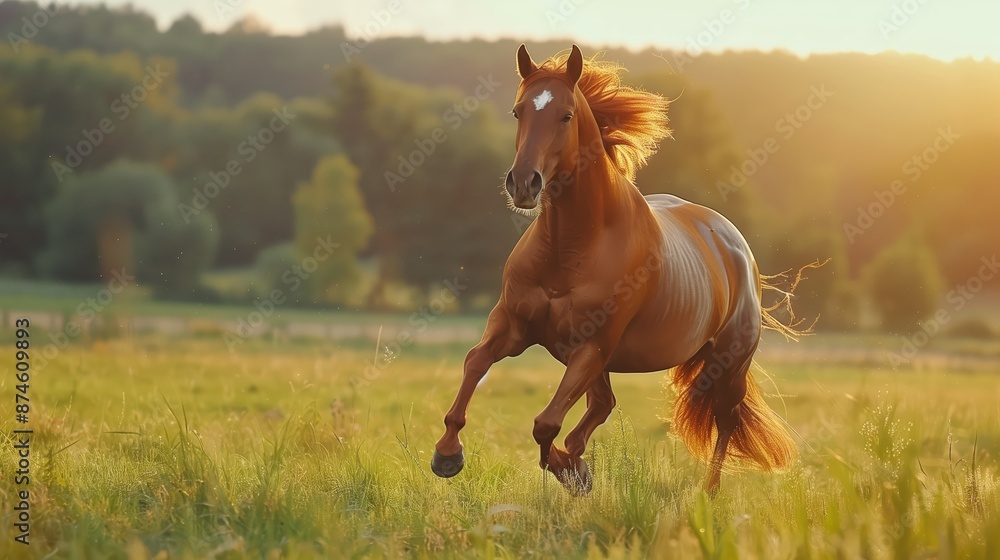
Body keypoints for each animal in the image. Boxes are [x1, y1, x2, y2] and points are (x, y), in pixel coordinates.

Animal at [430, 44, 797, 495]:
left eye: (567, 115)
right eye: (518, 111)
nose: (523, 183)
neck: (571, 248)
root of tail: (736, 247)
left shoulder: (591, 347)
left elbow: (545, 423)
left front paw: (569, 471)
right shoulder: (513, 326)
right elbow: (476, 363)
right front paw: (447, 454)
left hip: (727, 362)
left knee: (724, 419)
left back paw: (708, 495)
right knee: (603, 404)